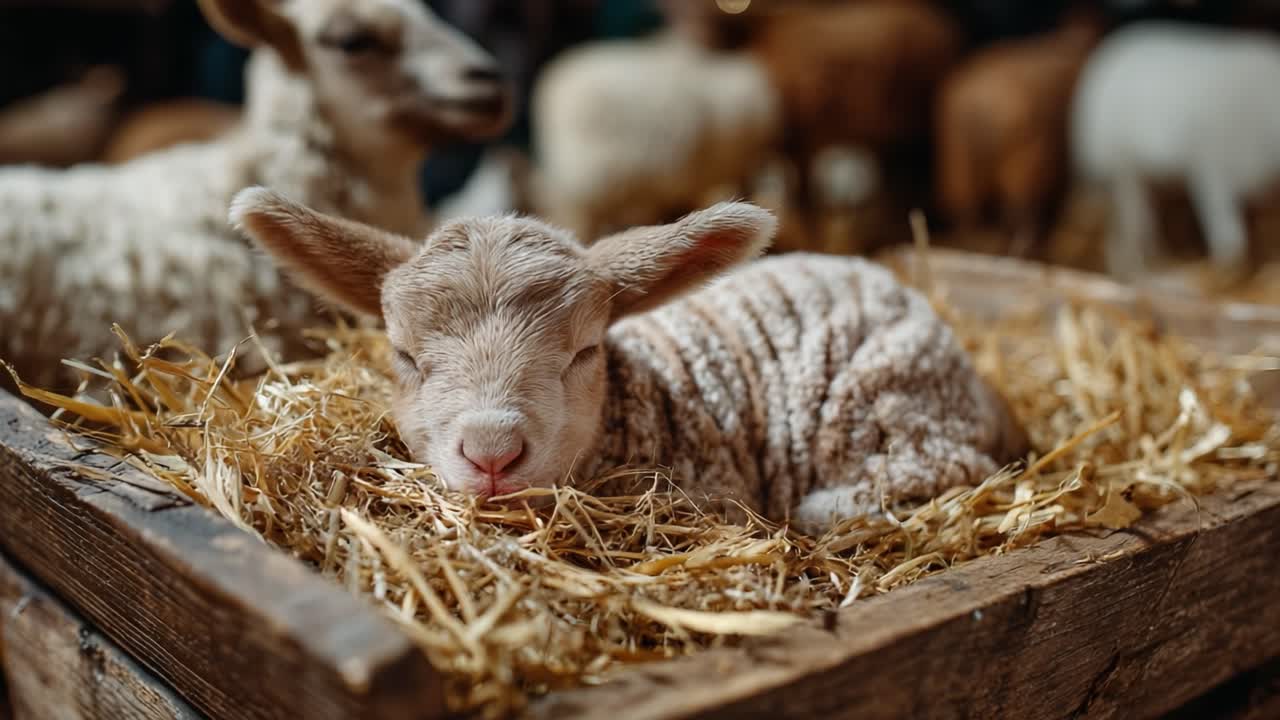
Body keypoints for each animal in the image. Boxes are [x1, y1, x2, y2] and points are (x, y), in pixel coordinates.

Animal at [1071, 21, 1280, 283]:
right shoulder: (1211, 172)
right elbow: (1227, 230)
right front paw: (1227, 269)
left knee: (1141, 221)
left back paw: (1154, 257)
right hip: (1123, 167)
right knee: (1131, 224)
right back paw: (1137, 265)